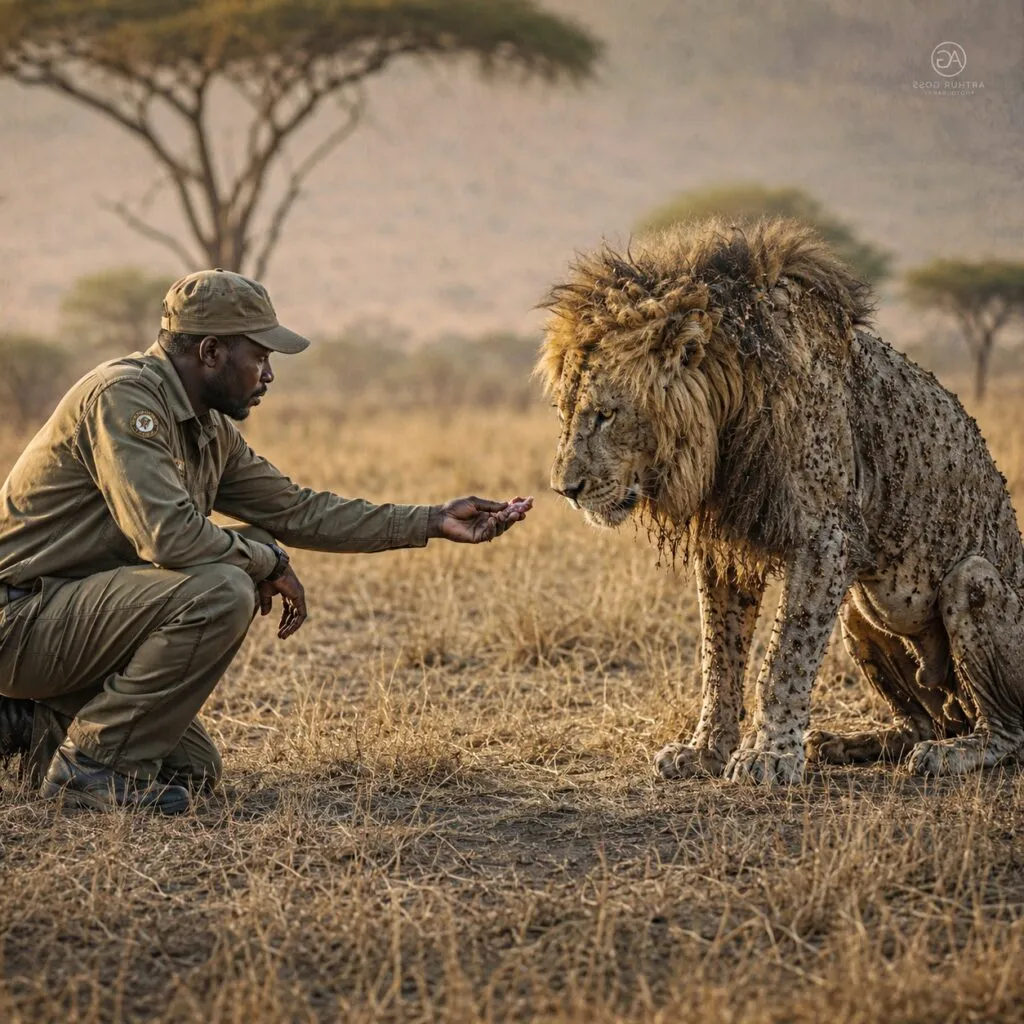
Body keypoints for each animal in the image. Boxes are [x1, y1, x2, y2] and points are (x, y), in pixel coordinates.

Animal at [537, 217, 1024, 785]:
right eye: (565, 413)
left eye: (605, 414)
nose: (564, 489)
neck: (727, 412)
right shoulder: (725, 540)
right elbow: (719, 657)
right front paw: (705, 751)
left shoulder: (827, 537)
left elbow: (786, 656)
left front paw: (767, 756)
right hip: (859, 613)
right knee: (925, 722)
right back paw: (845, 743)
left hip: (972, 579)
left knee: (1006, 730)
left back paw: (954, 753)